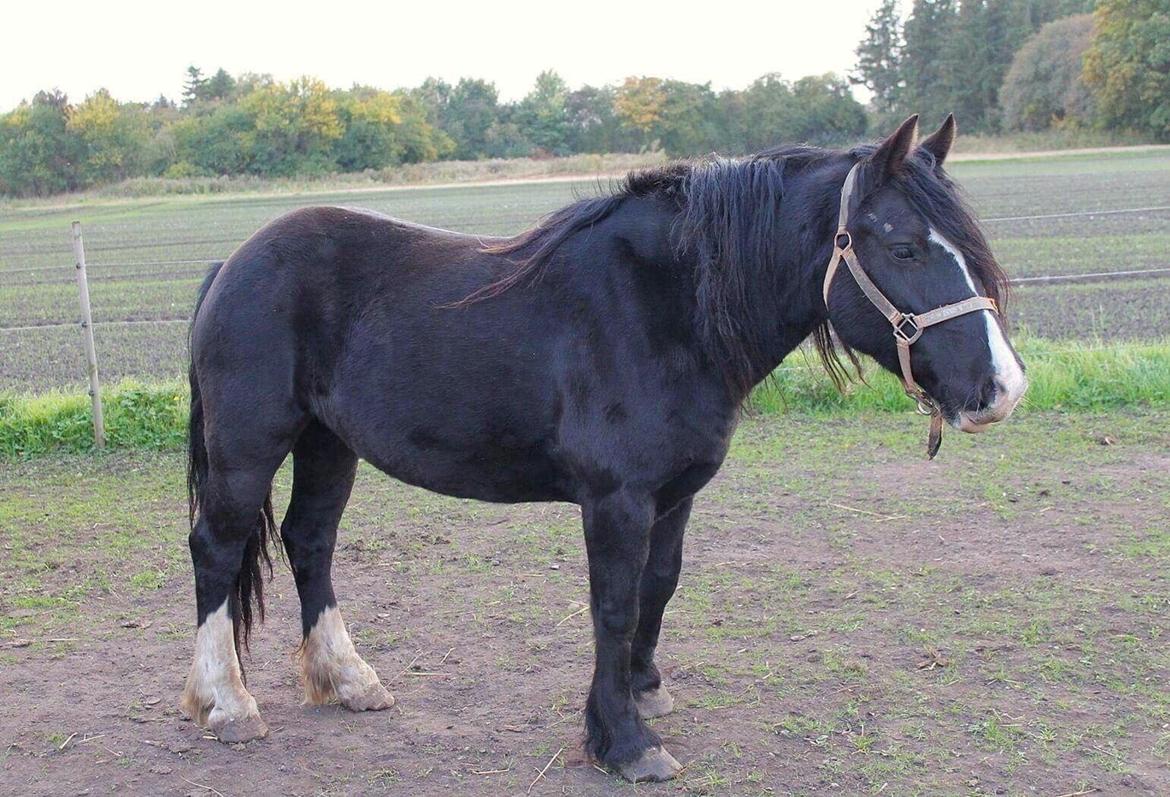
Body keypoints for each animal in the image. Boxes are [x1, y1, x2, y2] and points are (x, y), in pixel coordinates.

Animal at [180, 115, 1024, 781]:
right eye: (905, 246)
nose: (1002, 387)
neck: (664, 307)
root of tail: (233, 265)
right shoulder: (617, 499)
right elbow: (613, 604)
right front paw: (623, 741)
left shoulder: (674, 494)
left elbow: (659, 586)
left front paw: (643, 689)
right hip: (250, 443)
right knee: (217, 548)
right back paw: (228, 702)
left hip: (328, 443)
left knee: (310, 540)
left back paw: (348, 679)